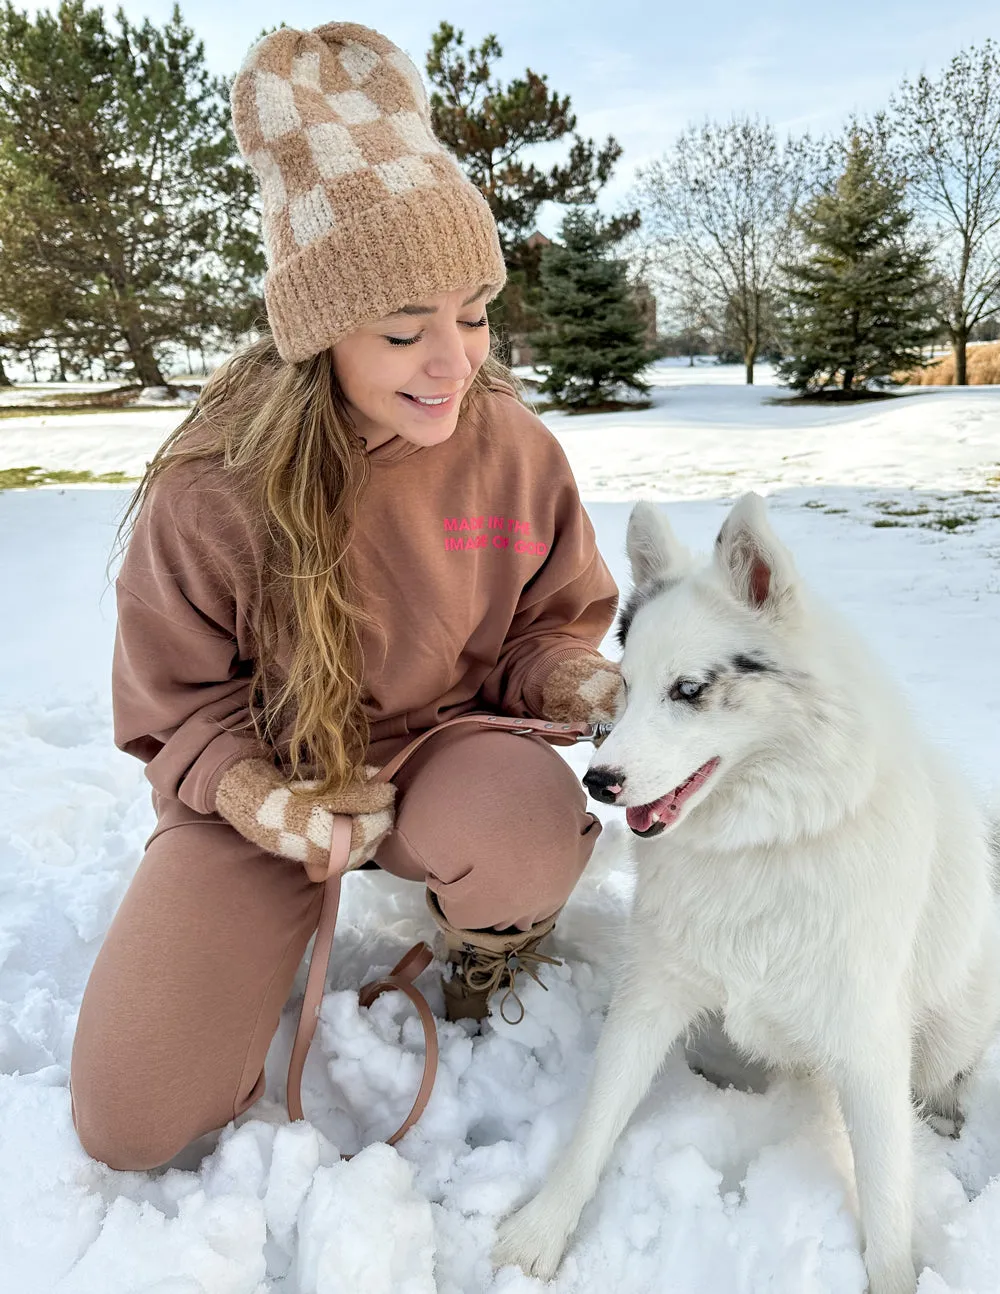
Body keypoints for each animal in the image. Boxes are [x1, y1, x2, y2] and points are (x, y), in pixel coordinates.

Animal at [494, 494, 998, 1294]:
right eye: (626, 688)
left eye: (688, 691)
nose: (598, 781)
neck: (761, 845)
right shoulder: (652, 995)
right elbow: (597, 1118)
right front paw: (542, 1230)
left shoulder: (869, 1044)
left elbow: (887, 1204)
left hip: (945, 1031)